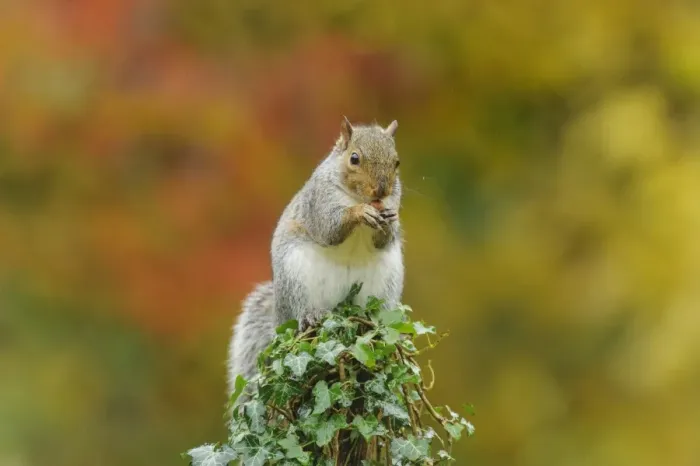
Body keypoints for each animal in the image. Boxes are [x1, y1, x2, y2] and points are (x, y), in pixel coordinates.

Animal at [227, 117, 404, 395]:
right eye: (354, 158)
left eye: (396, 162)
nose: (381, 191)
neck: (356, 196)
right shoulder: (319, 201)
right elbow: (330, 228)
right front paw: (359, 212)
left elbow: (383, 239)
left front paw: (386, 219)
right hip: (295, 276)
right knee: (300, 311)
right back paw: (309, 316)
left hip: (385, 284)